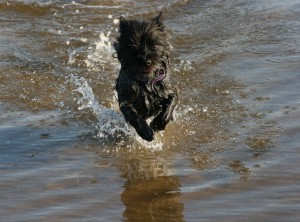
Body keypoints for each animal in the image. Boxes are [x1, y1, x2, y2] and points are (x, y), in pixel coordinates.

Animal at [113, 12, 177, 141]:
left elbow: (170, 104)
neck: (146, 80)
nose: (146, 61)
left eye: (155, 44)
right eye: (133, 46)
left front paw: (158, 123)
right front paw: (145, 131)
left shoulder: (169, 89)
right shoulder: (125, 99)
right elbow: (133, 115)